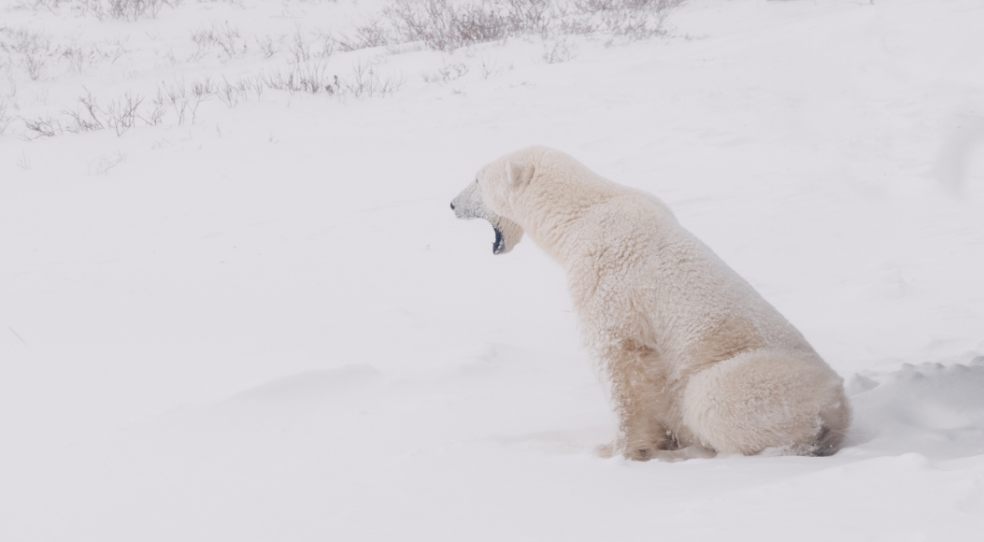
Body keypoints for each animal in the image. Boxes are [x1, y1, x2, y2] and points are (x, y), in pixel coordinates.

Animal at [450, 147, 848, 462]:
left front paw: (619, 450)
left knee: (709, 400)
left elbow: (619, 361)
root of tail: (838, 407)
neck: (581, 213)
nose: (451, 203)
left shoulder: (605, 274)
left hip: (752, 379)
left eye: (477, 178)